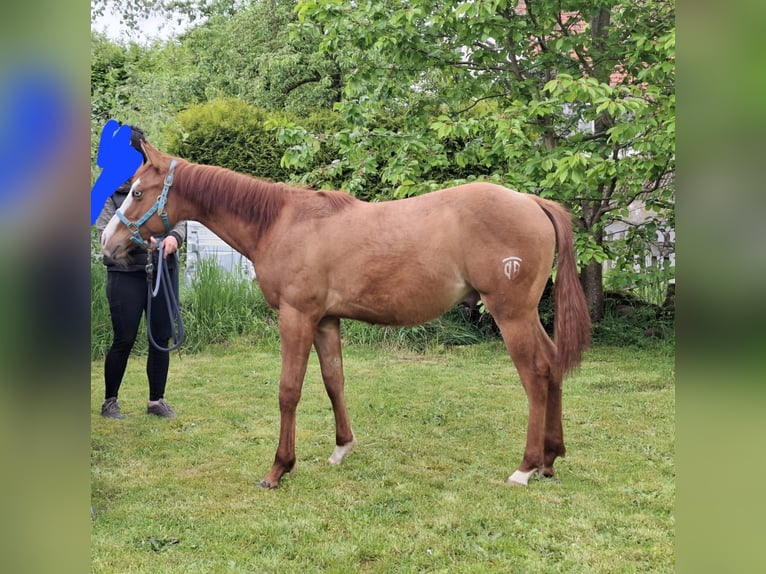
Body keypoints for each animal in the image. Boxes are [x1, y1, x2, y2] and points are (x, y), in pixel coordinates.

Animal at [101, 141, 591, 489]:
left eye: (138, 192)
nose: (108, 242)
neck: (280, 222)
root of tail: (532, 202)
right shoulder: (325, 320)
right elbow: (334, 381)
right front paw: (342, 448)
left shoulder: (296, 317)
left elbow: (289, 391)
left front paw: (279, 469)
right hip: (526, 315)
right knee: (552, 367)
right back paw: (551, 460)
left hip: (511, 315)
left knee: (535, 376)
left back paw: (526, 467)